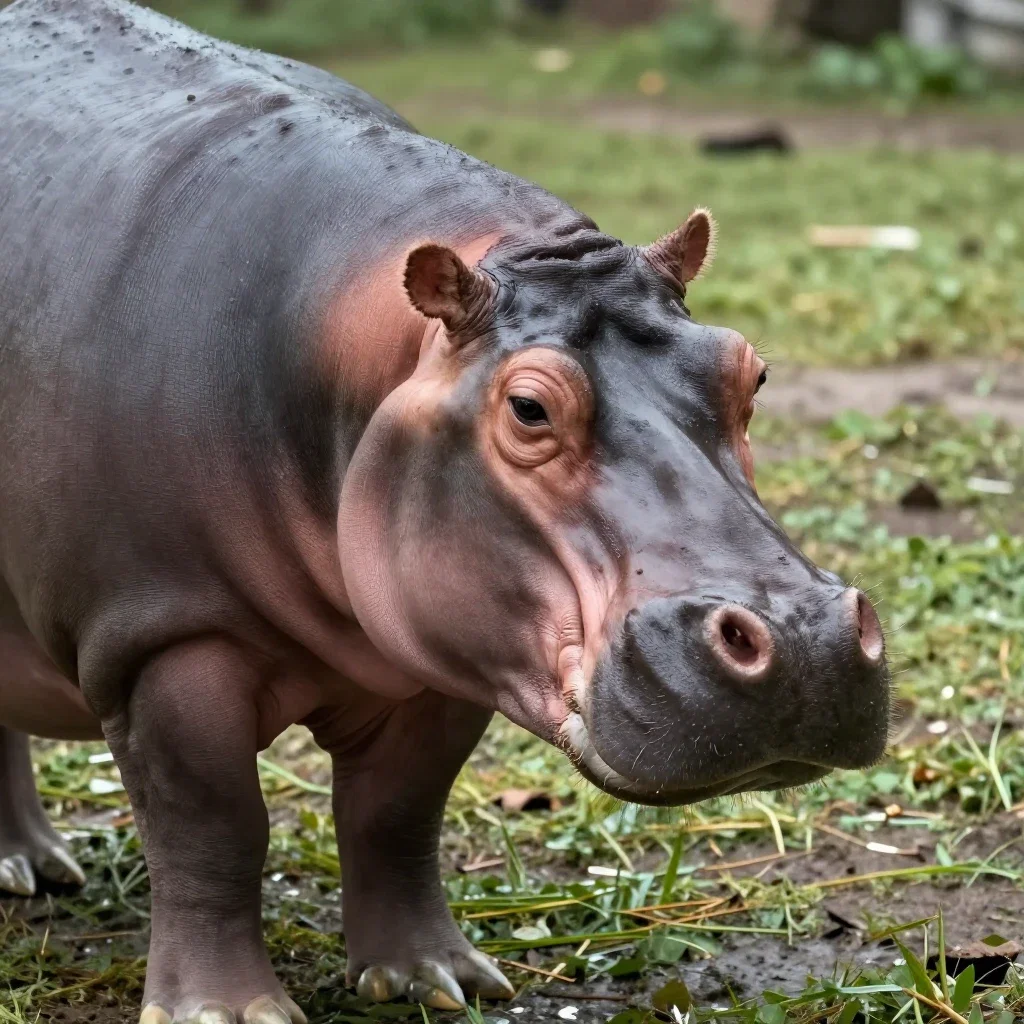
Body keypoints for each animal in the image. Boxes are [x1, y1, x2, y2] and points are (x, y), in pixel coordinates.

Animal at [0, 0, 891, 1020]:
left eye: (750, 370)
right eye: (529, 407)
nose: (808, 641)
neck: (360, 344)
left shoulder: (444, 648)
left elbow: (397, 812)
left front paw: (436, 980)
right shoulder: (163, 637)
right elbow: (212, 828)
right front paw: (228, 1012)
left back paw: (33, 866)